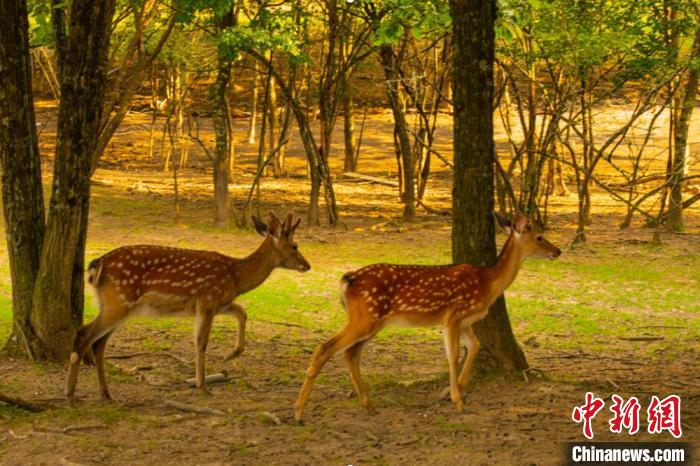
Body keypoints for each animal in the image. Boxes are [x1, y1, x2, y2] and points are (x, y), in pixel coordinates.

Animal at [67, 213, 308, 402]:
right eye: (295, 246)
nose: (307, 265)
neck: (236, 277)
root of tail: (97, 265)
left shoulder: (218, 303)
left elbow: (242, 312)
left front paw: (230, 355)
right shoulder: (208, 299)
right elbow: (201, 342)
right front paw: (203, 387)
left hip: (116, 305)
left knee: (98, 342)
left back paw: (106, 394)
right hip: (119, 301)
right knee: (83, 334)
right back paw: (70, 395)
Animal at [292, 213, 560, 420]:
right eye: (539, 236)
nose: (557, 251)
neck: (487, 284)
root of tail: (346, 280)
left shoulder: (464, 321)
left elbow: (474, 346)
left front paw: (458, 388)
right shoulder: (454, 315)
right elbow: (453, 355)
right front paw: (457, 400)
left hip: (373, 322)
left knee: (350, 353)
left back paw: (368, 406)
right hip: (364, 317)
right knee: (325, 347)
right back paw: (298, 412)